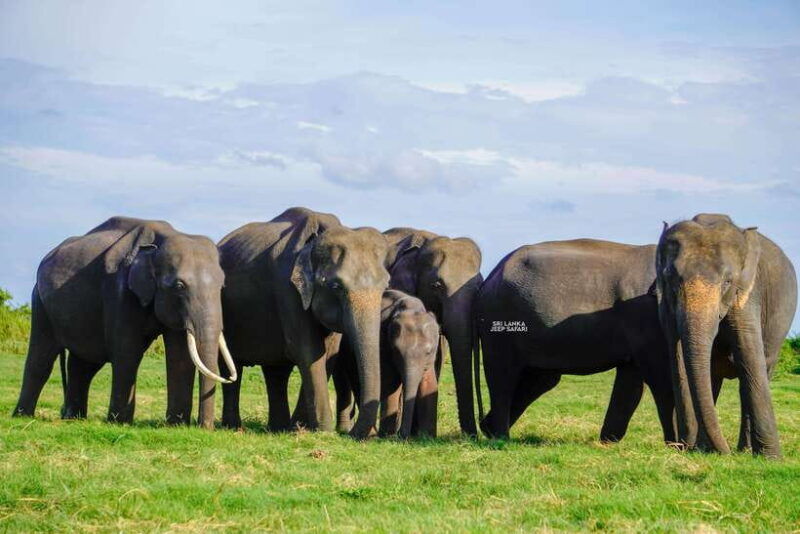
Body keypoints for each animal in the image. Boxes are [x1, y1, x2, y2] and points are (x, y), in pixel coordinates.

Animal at [13, 216, 236, 427]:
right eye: (179, 286)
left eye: (222, 286)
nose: (204, 427)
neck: (161, 241)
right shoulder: (119, 290)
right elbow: (127, 351)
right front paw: (119, 422)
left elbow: (180, 356)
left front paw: (176, 425)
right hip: (40, 302)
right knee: (41, 358)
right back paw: (22, 416)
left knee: (83, 365)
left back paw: (73, 418)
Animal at [218, 207, 390, 439]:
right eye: (336, 287)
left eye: (385, 285)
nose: (351, 434)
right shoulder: (287, 289)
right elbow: (309, 351)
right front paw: (323, 431)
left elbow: (328, 353)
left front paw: (301, 428)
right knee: (231, 365)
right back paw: (234, 427)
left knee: (276, 371)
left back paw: (278, 428)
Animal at [335, 289, 440, 438]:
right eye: (396, 350)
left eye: (428, 352)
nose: (402, 437)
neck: (412, 308)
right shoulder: (383, 344)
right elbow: (391, 382)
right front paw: (387, 435)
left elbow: (429, 383)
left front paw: (426, 437)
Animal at [477, 239, 676, 443]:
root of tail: (491, 276)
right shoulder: (645, 316)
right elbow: (659, 372)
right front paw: (677, 444)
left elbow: (633, 380)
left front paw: (607, 442)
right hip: (499, 323)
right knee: (503, 376)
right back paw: (500, 438)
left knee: (540, 380)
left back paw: (489, 429)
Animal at [655, 214, 797, 458]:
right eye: (672, 279)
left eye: (727, 282)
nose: (725, 451)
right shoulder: (666, 306)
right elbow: (678, 358)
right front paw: (701, 448)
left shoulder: (748, 293)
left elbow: (749, 354)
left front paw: (771, 458)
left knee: (756, 373)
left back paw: (745, 450)